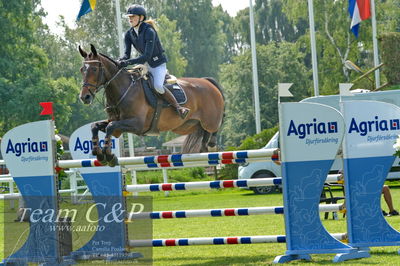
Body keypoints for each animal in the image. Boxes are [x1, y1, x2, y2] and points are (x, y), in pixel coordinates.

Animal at [76, 44, 223, 165]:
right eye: (82, 69)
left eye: (94, 69)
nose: (84, 97)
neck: (124, 89)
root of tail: (207, 82)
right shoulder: (117, 121)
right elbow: (96, 126)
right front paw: (99, 154)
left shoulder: (137, 124)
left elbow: (110, 127)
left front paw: (108, 155)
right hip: (185, 126)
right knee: (203, 132)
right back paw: (204, 147)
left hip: (210, 120)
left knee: (215, 126)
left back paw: (211, 144)